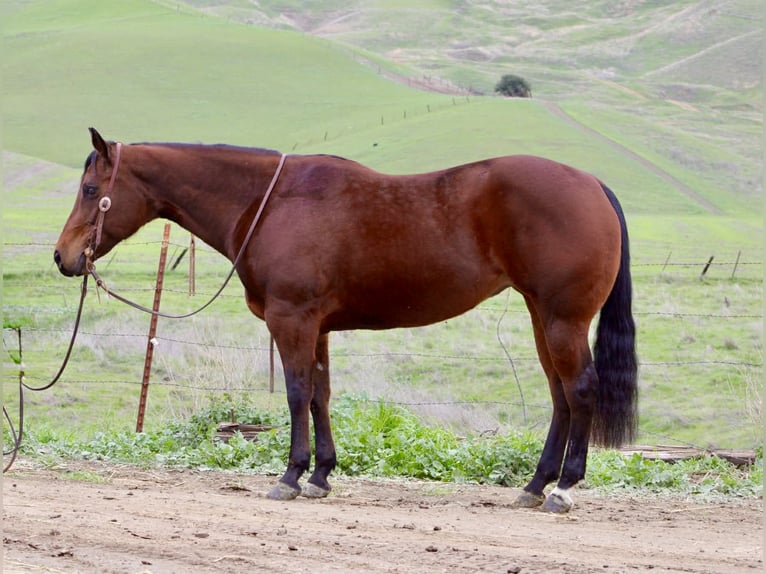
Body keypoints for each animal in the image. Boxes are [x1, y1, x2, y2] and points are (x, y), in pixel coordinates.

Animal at [54, 128, 637, 513]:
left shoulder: (292, 320)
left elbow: (296, 393)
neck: (270, 202)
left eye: (90, 190)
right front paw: (320, 475)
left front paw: (291, 475)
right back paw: (536, 485)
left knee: (580, 390)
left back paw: (563, 488)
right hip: (543, 318)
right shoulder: (317, 327)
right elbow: (319, 395)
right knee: (560, 394)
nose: (63, 257)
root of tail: (593, 185)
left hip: (562, 319)